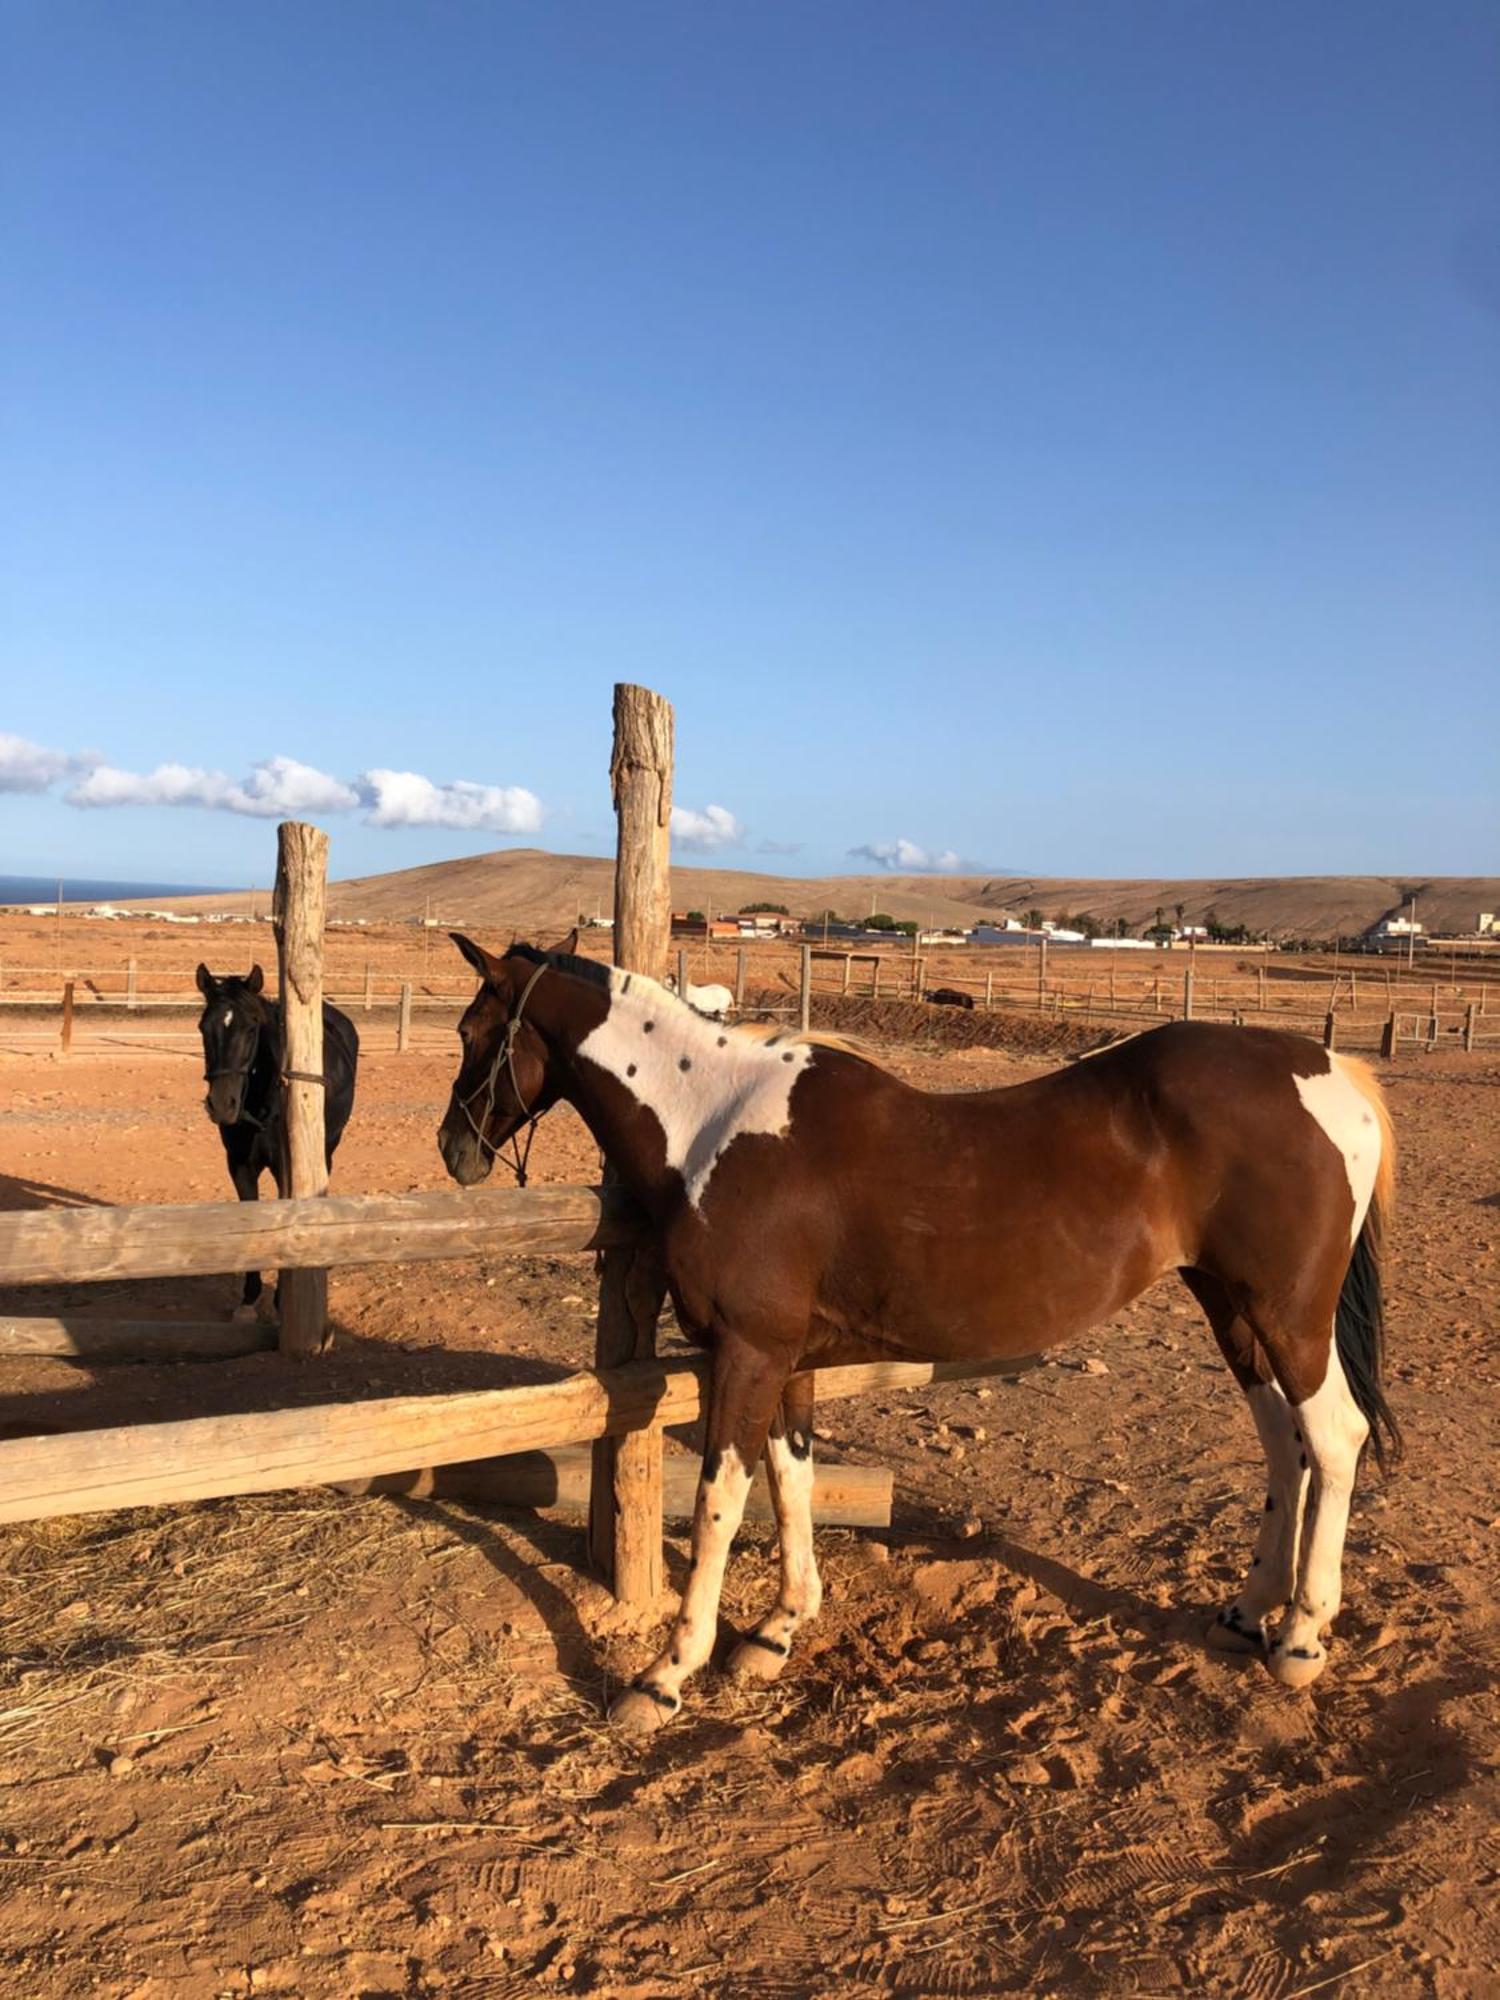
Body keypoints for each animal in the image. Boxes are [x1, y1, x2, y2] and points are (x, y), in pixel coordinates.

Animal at [440, 936, 1408, 1736]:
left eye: (471, 1031)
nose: (455, 1149)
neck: (710, 1123)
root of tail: (1332, 1072)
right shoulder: (787, 1360)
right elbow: (792, 1479)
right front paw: (780, 1629)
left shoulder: (747, 1353)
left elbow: (721, 1503)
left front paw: (666, 1675)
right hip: (1232, 1310)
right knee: (1285, 1446)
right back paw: (1249, 1613)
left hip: (1288, 1317)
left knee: (1335, 1437)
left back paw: (1301, 1638)